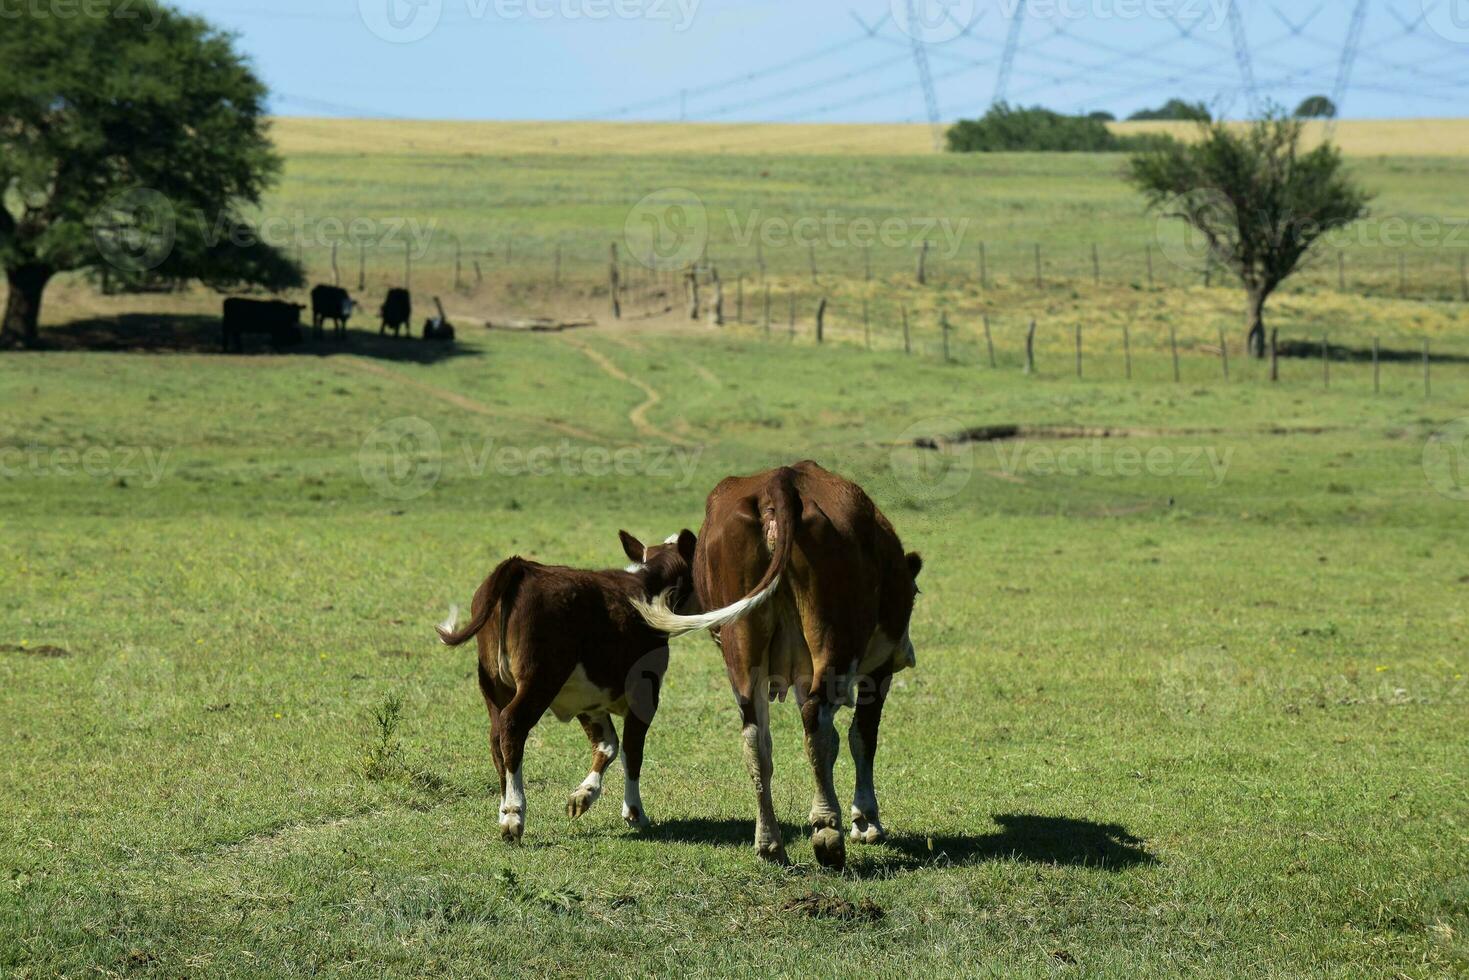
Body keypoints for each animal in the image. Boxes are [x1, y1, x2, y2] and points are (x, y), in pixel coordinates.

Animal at [437, 528, 696, 846]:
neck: (648, 584)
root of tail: (522, 567)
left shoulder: (587, 698)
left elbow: (607, 745)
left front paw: (583, 796)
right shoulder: (645, 692)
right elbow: (631, 751)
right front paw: (635, 812)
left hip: (494, 685)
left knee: (497, 737)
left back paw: (504, 808)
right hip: (539, 679)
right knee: (512, 726)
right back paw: (513, 814)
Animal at [631, 464, 916, 869]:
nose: (909, 653)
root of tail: (780, 481)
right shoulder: (878, 671)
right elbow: (863, 736)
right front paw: (866, 820)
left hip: (743, 645)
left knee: (756, 738)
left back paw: (769, 842)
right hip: (835, 640)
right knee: (819, 724)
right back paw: (827, 829)